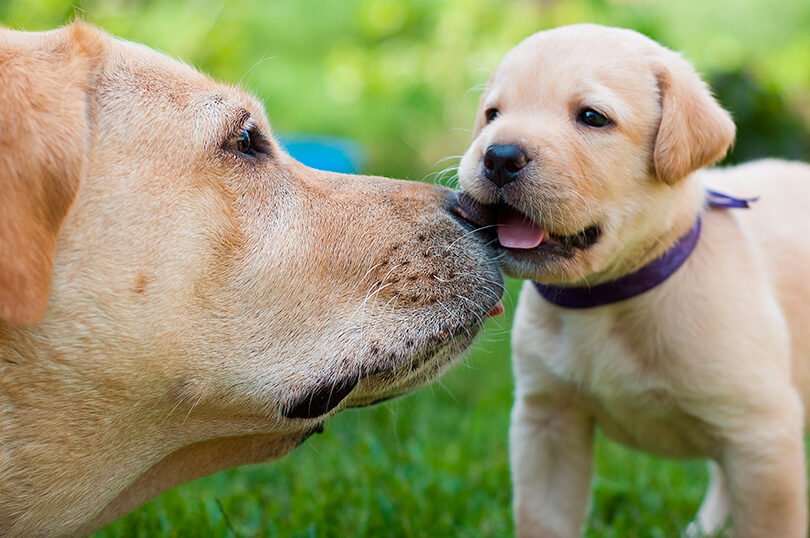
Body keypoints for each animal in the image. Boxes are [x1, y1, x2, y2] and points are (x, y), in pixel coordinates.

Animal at [458, 23, 808, 532]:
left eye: (592, 117)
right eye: (492, 114)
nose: (499, 156)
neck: (608, 297)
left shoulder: (763, 436)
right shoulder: (547, 422)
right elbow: (543, 520)